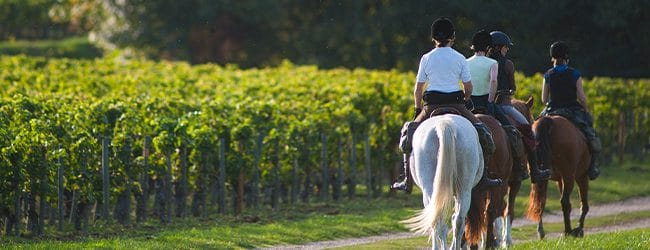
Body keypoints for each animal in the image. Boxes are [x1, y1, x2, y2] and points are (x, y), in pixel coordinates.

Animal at [524, 107, 588, 238]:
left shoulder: (559, 180)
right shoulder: (581, 176)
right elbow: (584, 204)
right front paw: (579, 228)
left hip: (542, 175)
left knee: (540, 200)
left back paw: (541, 232)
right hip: (569, 176)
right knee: (565, 202)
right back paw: (568, 231)